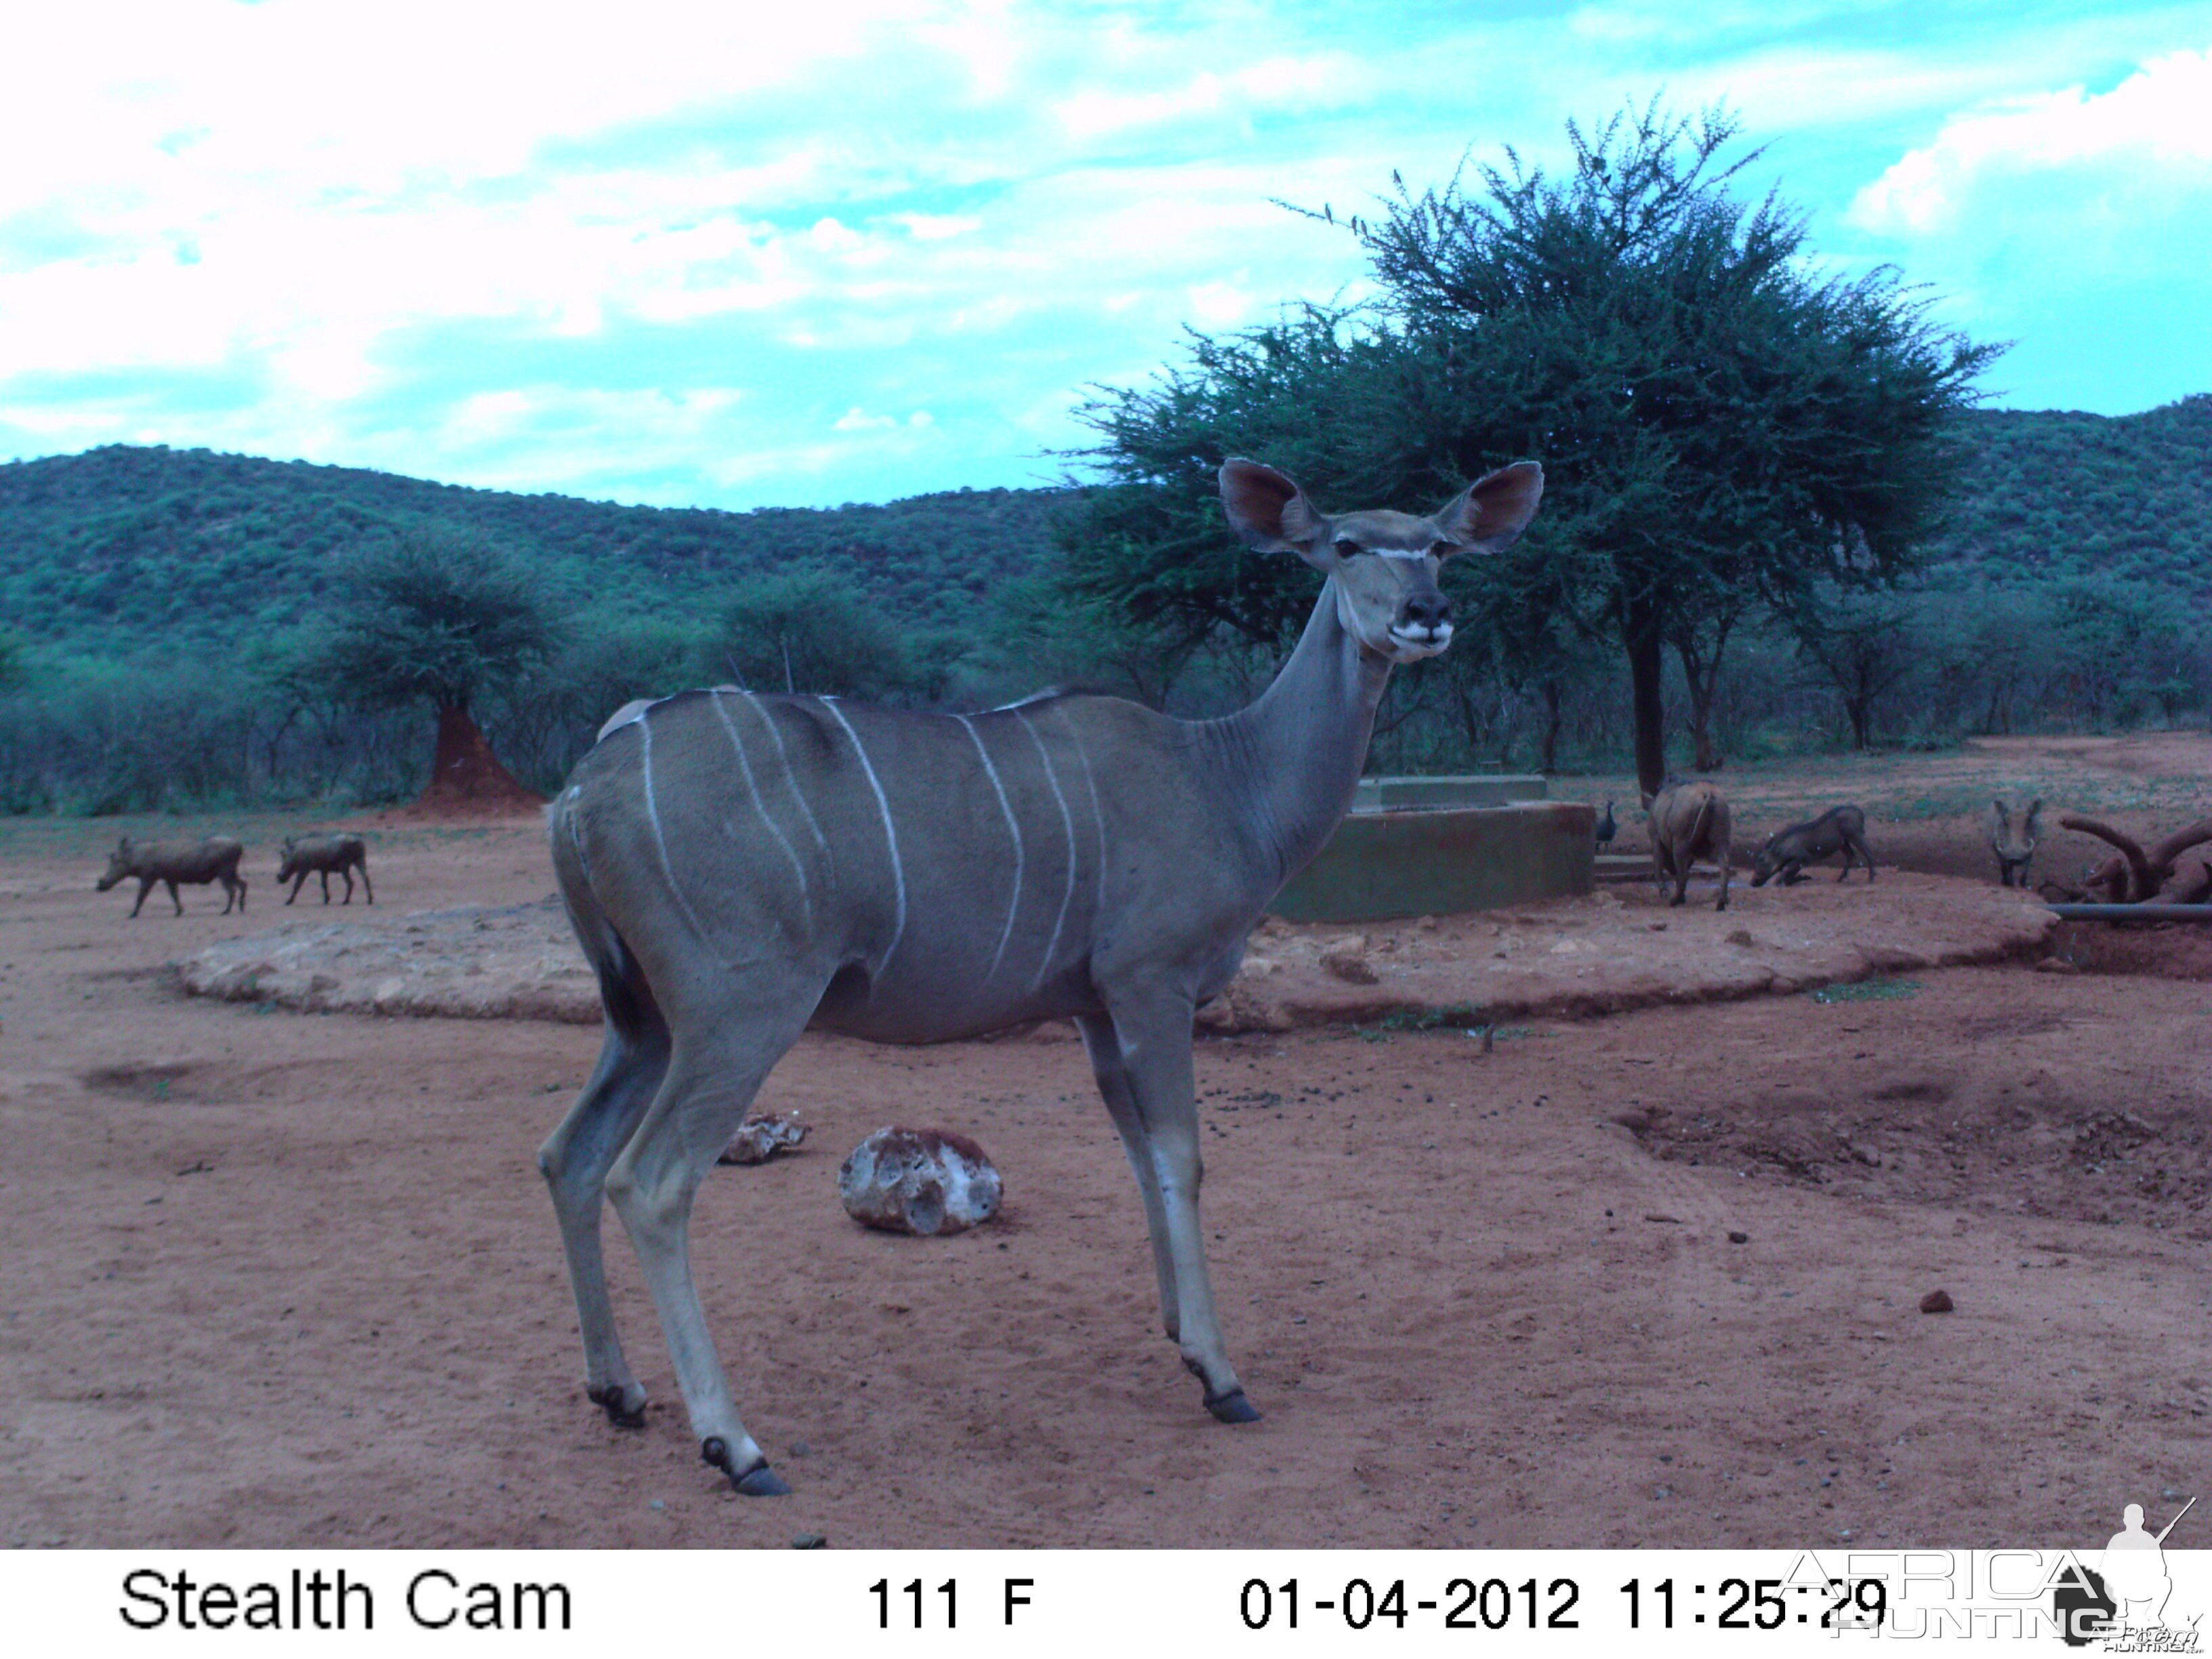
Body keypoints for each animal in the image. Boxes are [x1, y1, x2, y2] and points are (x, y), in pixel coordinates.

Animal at [539, 451, 1539, 1495]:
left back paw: (619, 1392)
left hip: (643, 1020)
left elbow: (1141, 1158)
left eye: (1439, 546)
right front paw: (1221, 1375)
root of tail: (581, 792)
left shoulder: (1096, 1011)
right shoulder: (1152, 986)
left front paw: (1181, 1334)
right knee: (651, 1182)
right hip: (740, 1013)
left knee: (569, 1156)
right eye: (1345, 546)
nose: (1426, 613)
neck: (1228, 780)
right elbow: (1182, 1158)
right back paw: (736, 1446)